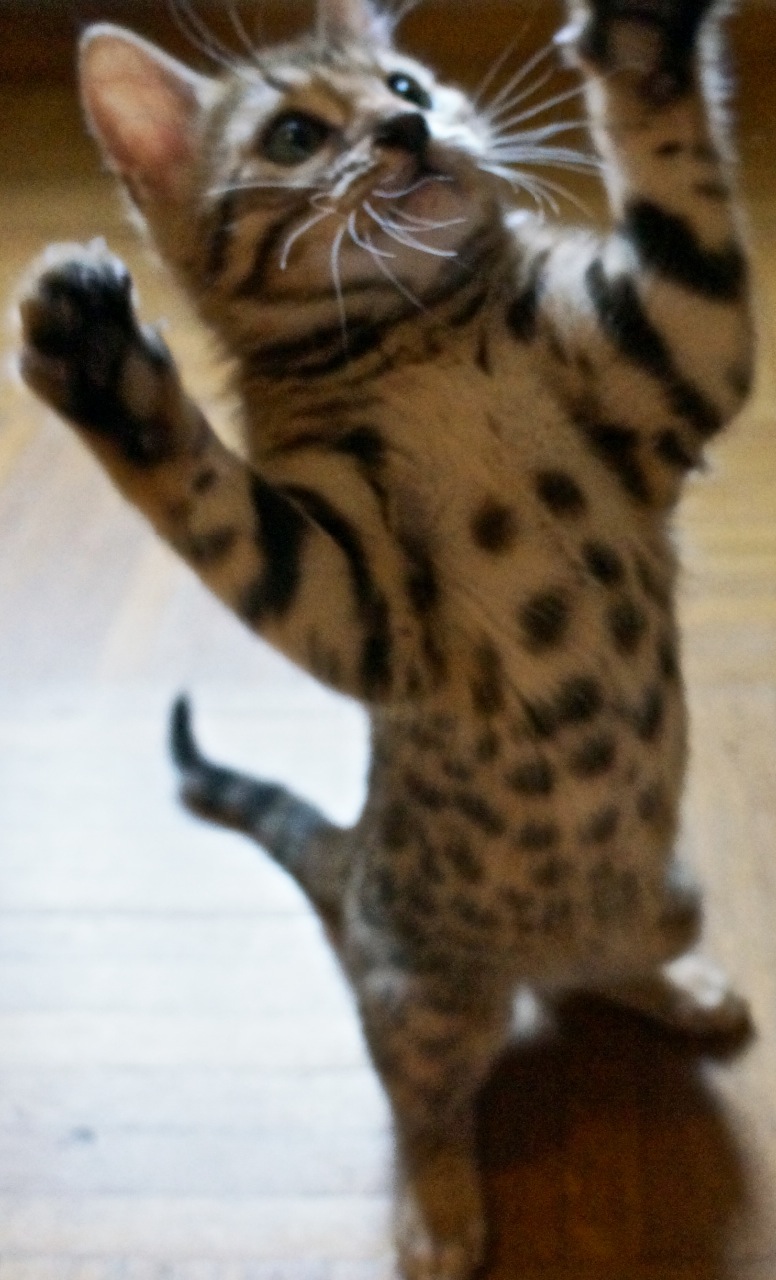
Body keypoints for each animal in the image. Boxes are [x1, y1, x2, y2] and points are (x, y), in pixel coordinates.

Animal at [18, 0, 755, 1275]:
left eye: (406, 84)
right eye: (295, 136)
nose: (407, 129)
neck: (430, 342)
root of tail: (354, 853)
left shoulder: (677, 351)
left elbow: (681, 189)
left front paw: (645, 45)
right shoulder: (355, 606)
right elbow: (221, 512)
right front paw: (104, 368)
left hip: (667, 892)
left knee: (596, 971)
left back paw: (678, 986)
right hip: (427, 1001)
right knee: (425, 1098)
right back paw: (438, 1208)